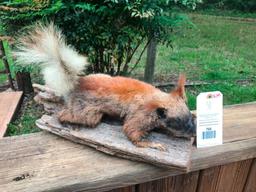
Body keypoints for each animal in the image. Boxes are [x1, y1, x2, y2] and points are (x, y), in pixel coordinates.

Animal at [15, 23, 196, 151]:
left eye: (190, 117)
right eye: (179, 122)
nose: (194, 132)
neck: (158, 99)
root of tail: (78, 82)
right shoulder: (141, 114)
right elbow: (131, 131)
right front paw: (152, 144)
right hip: (87, 111)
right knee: (66, 114)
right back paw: (68, 122)